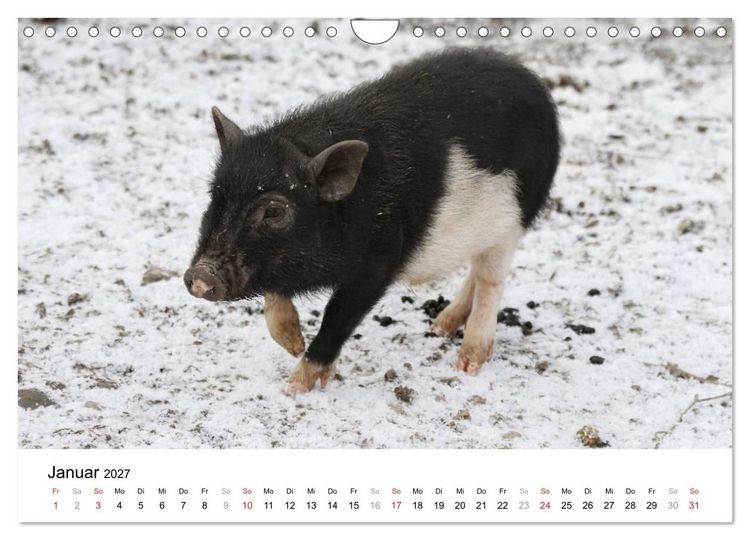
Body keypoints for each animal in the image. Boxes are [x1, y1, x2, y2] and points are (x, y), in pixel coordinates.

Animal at [184, 47, 560, 395]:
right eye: (215, 195)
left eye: (274, 211)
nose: (200, 275)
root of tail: (535, 83)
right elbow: (275, 299)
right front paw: (293, 344)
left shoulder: (380, 261)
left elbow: (338, 316)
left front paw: (294, 387)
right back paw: (440, 327)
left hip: (514, 220)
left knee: (489, 280)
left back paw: (467, 363)